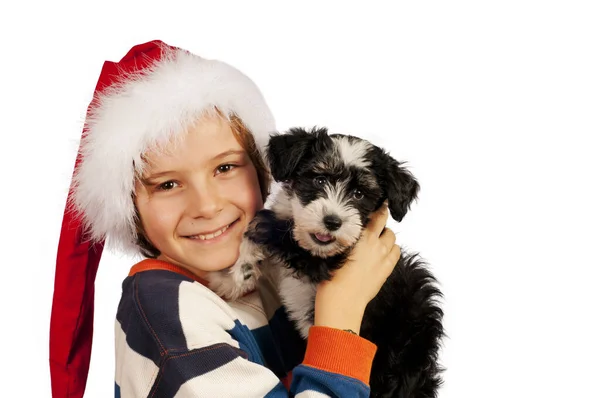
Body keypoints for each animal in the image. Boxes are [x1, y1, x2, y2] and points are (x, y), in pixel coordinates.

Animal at [209, 128, 442, 398]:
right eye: (319, 180)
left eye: (359, 194)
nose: (332, 222)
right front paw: (232, 279)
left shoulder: (320, 260)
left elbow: (264, 224)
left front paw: (233, 275)